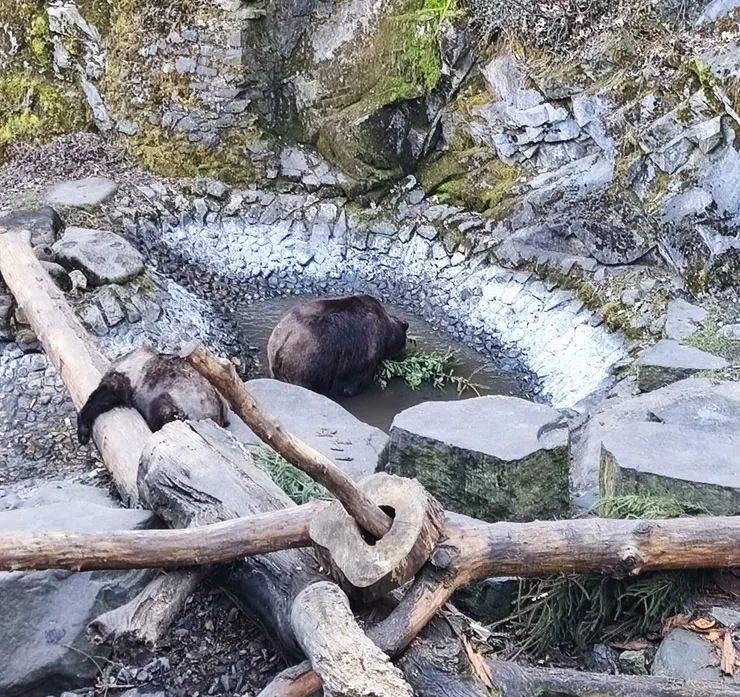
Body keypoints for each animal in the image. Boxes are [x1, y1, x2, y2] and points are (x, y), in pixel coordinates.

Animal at [267, 294, 409, 398]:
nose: (402, 354)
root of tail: (283, 341)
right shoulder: (368, 349)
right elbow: (357, 381)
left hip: (276, 357)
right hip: (311, 361)